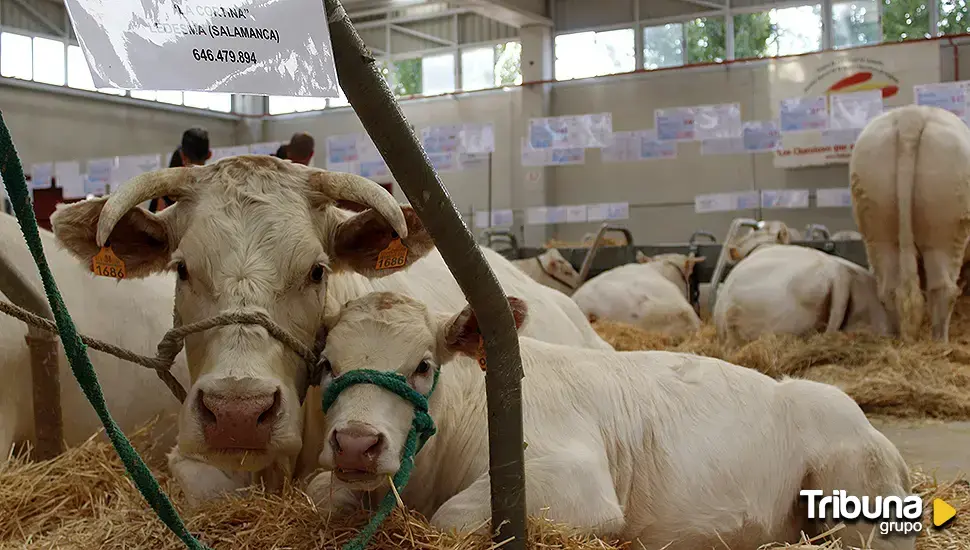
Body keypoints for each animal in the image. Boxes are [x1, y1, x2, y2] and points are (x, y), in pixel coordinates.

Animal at [308, 292, 916, 550]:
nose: (356, 443)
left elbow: (452, 519)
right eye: (326, 364)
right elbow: (319, 492)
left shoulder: (574, 480)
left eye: (422, 366)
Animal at [848, 104, 968, 340]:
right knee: (944, 290)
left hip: (878, 231)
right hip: (943, 234)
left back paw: (897, 338)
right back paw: (940, 341)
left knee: (889, 289)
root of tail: (912, 115)